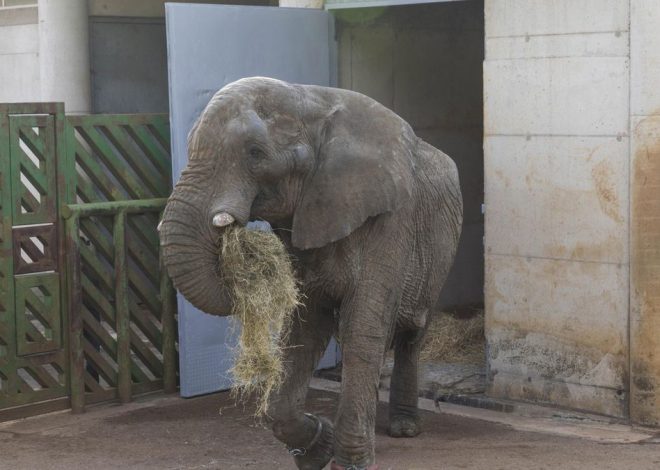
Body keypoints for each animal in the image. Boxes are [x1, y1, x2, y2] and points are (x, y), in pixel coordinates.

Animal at [159, 77, 463, 470]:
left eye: (255, 153)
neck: (310, 100)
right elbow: (306, 324)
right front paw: (319, 449)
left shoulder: (393, 218)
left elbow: (362, 327)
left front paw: (350, 463)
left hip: (440, 254)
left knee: (412, 334)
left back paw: (404, 428)